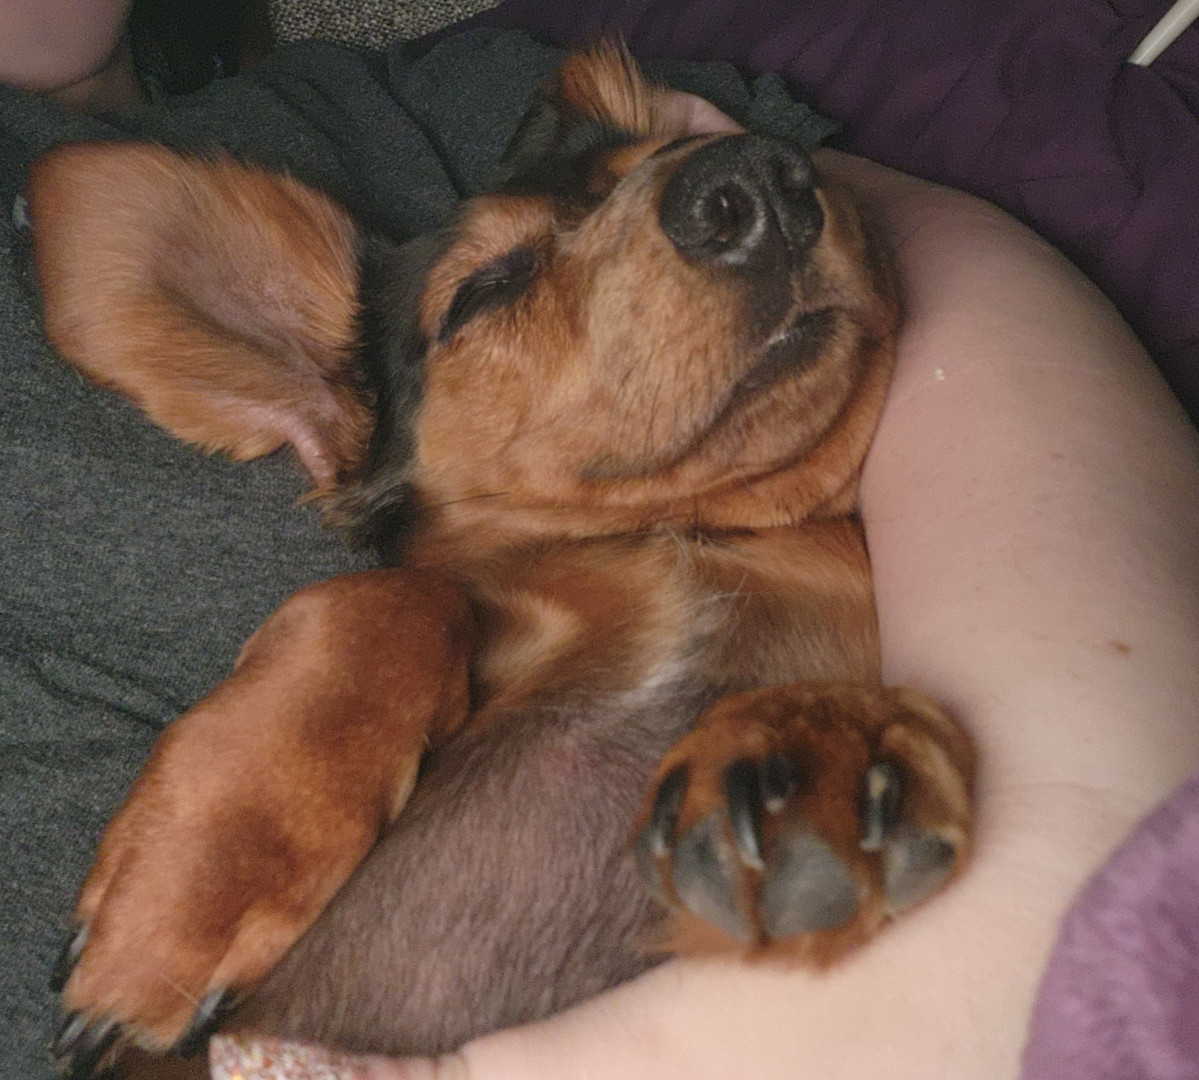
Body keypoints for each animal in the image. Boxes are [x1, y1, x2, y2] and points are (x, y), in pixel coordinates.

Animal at [29, 44, 975, 1079]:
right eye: (485, 288)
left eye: (665, 154)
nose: (754, 178)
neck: (692, 537)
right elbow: (398, 593)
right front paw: (191, 891)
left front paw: (821, 755)